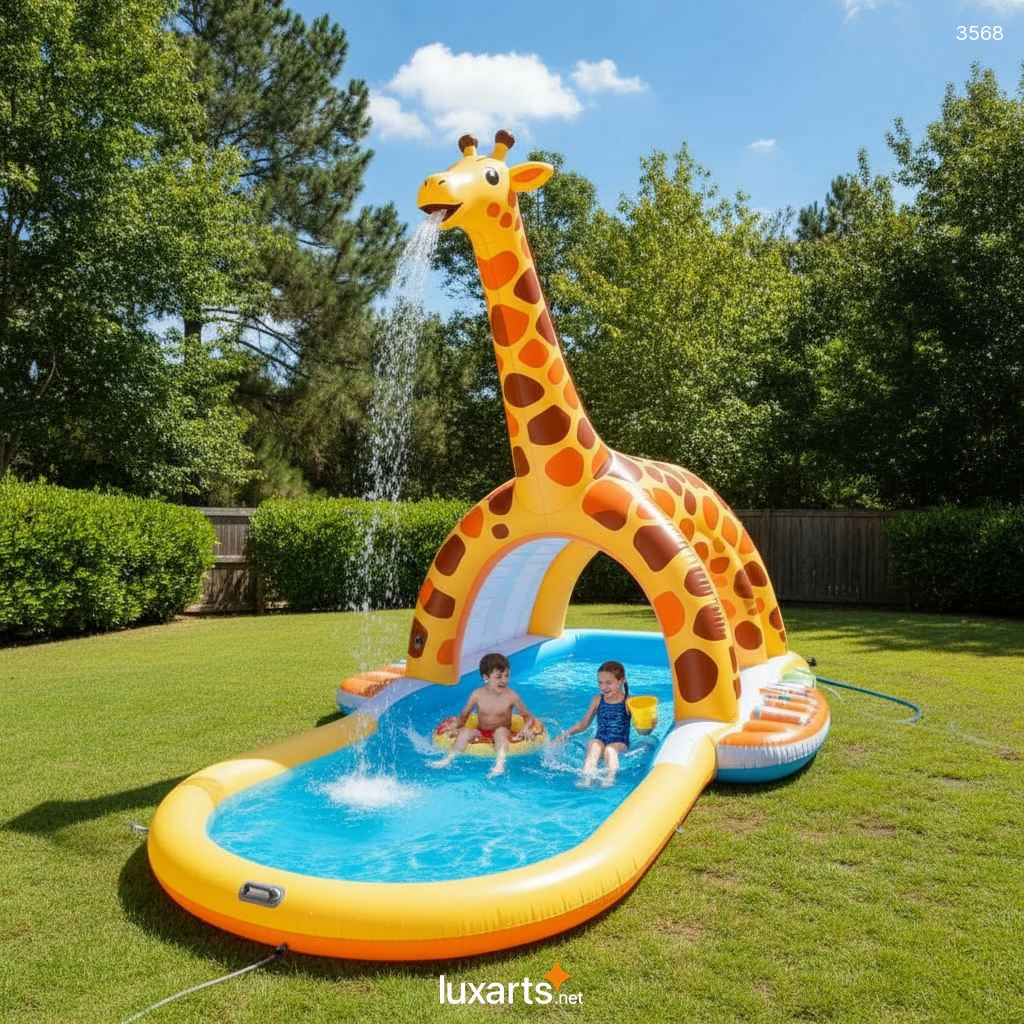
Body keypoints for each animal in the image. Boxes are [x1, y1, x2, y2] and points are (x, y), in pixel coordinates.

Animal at [408, 130, 788, 725]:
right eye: (452, 159)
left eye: (493, 174)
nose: (433, 184)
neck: (553, 472)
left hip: (733, 547)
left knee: (754, 617)